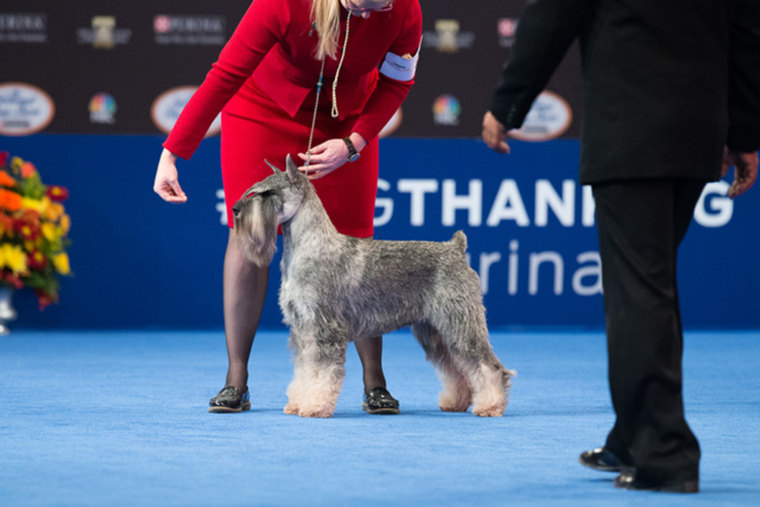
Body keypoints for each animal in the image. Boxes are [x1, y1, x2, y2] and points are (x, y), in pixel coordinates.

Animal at [233, 157, 516, 418]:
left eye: (268, 192)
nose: (235, 209)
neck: (308, 245)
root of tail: (456, 248)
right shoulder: (303, 331)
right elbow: (304, 371)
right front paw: (297, 402)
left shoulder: (325, 330)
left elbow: (321, 373)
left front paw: (314, 405)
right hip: (435, 331)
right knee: (456, 367)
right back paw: (457, 401)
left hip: (460, 324)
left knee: (488, 366)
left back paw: (490, 405)